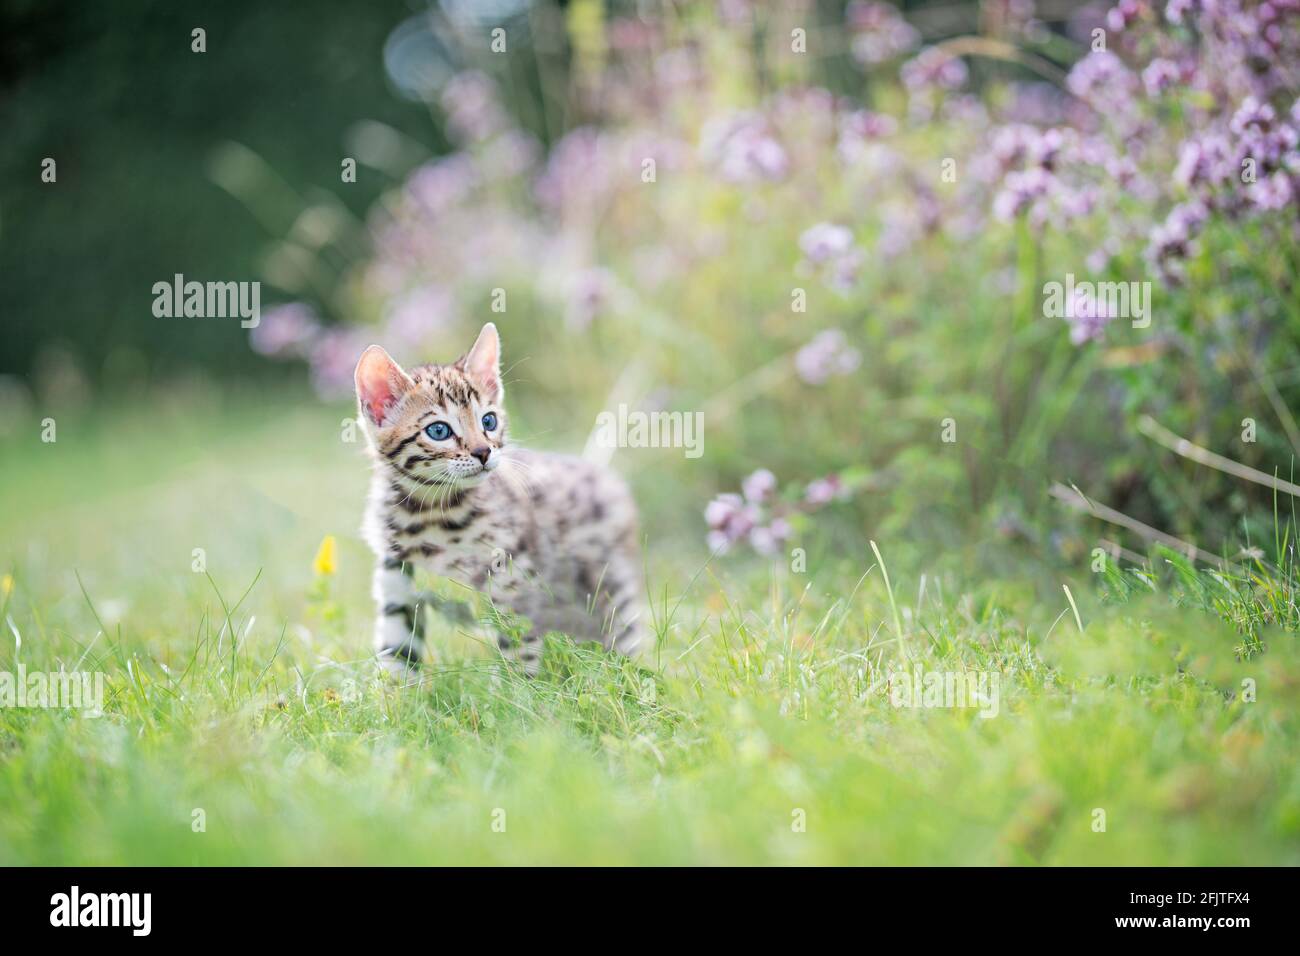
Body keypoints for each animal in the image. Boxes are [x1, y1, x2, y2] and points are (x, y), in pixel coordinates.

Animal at [356, 325, 644, 676]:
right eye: (438, 430)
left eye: (489, 421)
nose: (484, 452)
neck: (429, 512)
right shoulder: (397, 585)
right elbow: (396, 659)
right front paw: (394, 691)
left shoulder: (515, 584)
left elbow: (518, 657)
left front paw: (520, 689)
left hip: (613, 588)